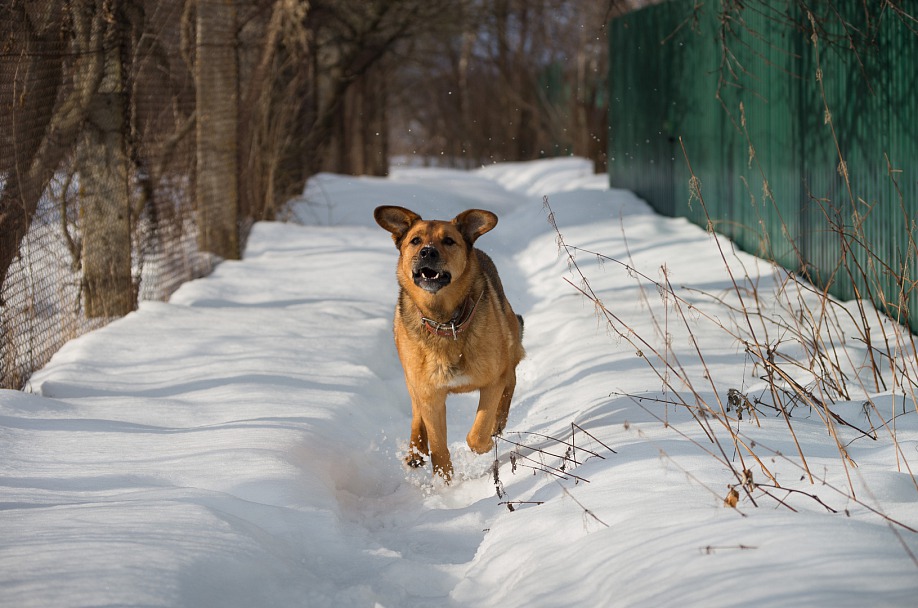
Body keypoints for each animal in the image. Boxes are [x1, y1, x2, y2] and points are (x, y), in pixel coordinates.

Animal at [374, 207, 524, 482]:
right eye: (415, 240)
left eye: (448, 241)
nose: (427, 252)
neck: (445, 323)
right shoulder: (430, 394)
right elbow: (438, 446)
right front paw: (444, 483)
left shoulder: (492, 381)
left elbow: (477, 434)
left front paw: (486, 441)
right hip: (412, 377)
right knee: (416, 411)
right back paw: (415, 450)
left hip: (508, 346)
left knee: (511, 380)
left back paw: (498, 424)